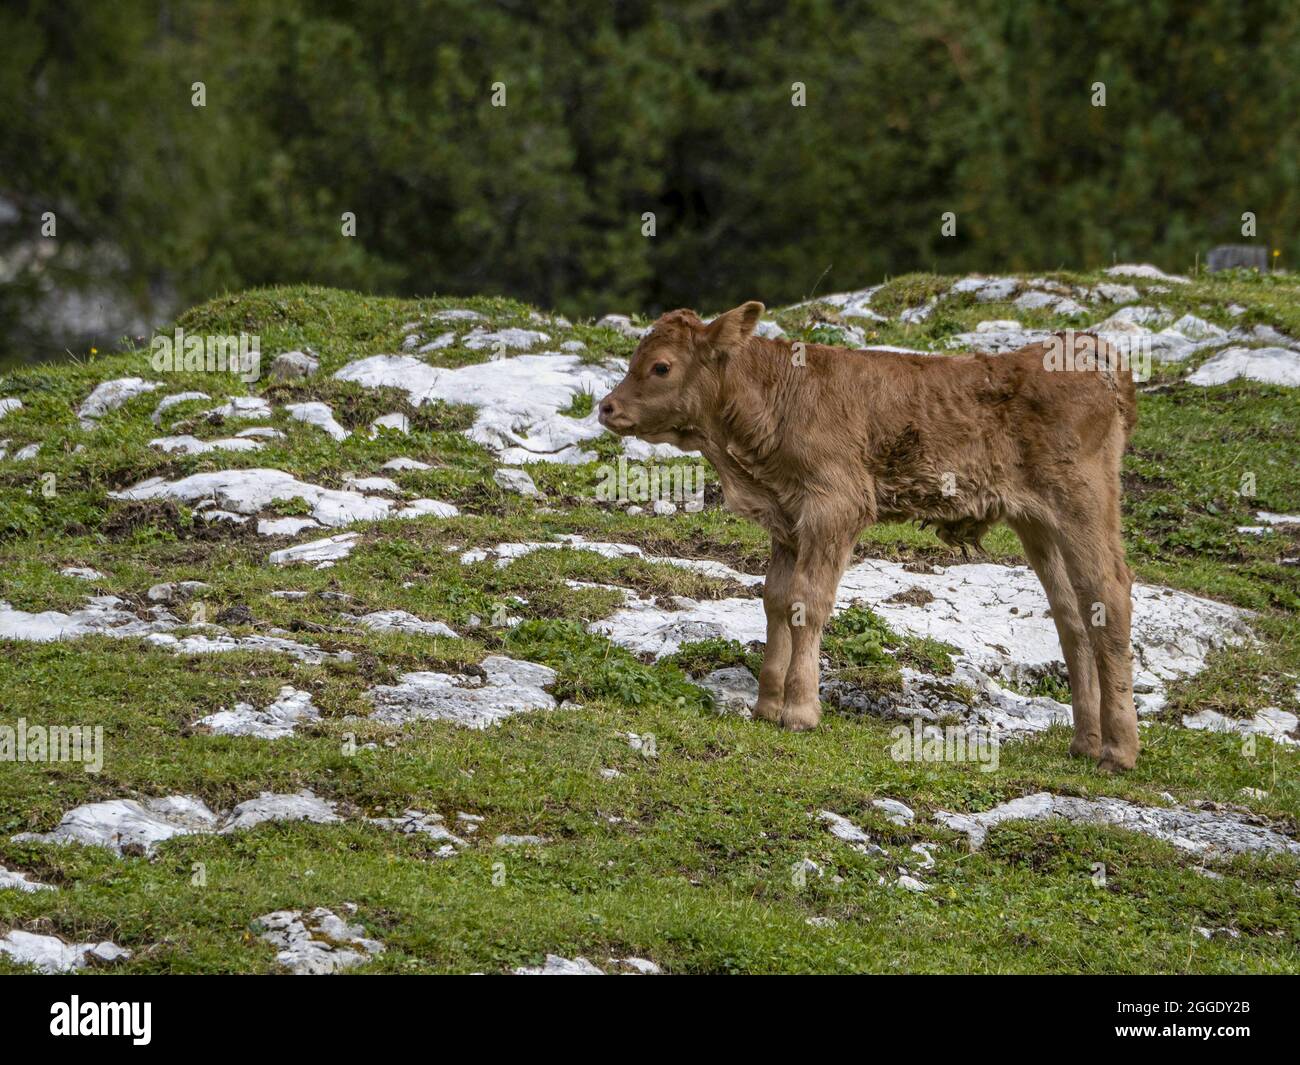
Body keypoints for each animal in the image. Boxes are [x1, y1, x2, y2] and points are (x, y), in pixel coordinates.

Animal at [598, 301, 1141, 772]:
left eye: (661, 367)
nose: (606, 408)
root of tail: (1085, 350)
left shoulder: (835, 505)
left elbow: (808, 600)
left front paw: (800, 711)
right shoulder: (787, 518)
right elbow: (776, 599)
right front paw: (766, 705)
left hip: (1082, 500)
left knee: (1109, 593)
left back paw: (1118, 751)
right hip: (1038, 521)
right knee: (1072, 613)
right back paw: (1084, 742)